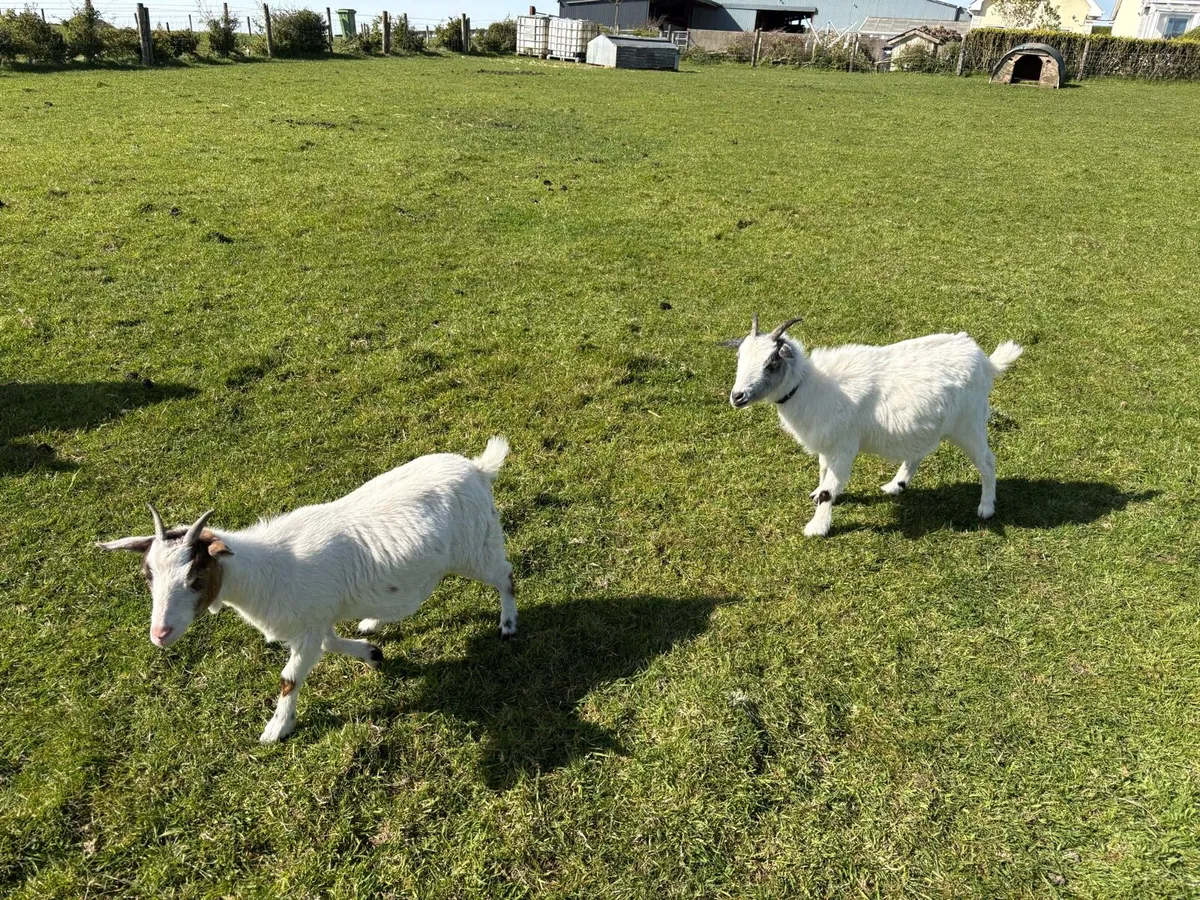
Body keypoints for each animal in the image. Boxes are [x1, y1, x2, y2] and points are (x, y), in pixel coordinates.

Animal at [98, 437, 516, 742]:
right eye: (148, 575)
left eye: (195, 578)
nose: (160, 633)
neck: (267, 570)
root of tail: (478, 468)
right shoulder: (313, 621)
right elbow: (329, 642)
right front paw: (371, 653)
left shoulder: (308, 626)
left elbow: (290, 677)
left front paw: (276, 728)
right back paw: (372, 623)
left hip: (477, 546)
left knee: (505, 576)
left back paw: (508, 624)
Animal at [729, 316, 1022, 537]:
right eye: (740, 357)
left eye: (771, 362)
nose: (737, 396)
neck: (807, 386)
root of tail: (985, 361)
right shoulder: (828, 442)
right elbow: (823, 473)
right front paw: (816, 496)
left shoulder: (844, 445)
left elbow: (828, 490)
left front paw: (817, 528)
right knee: (918, 452)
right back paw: (896, 485)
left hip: (969, 423)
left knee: (987, 461)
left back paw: (986, 508)